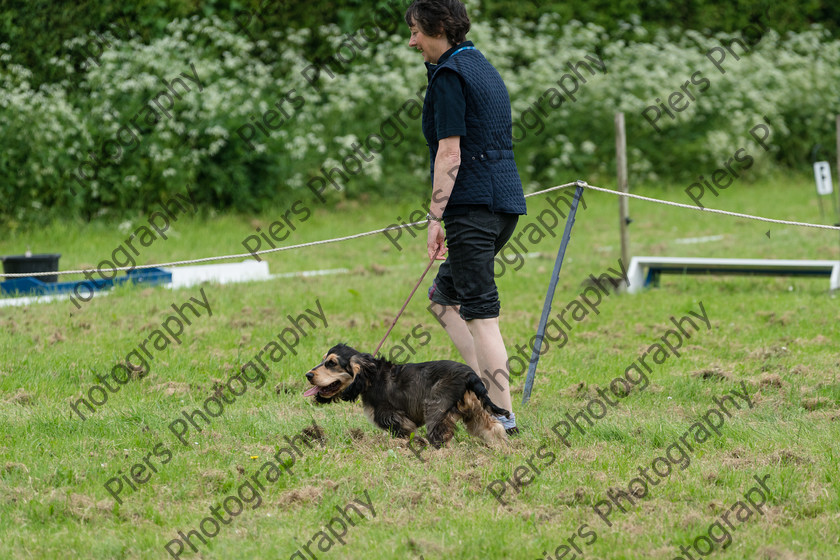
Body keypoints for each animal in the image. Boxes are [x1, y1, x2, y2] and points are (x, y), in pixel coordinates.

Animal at [306, 344, 508, 448]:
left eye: (331, 363)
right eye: (323, 360)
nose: (308, 375)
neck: (370, 377)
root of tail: (469, 375)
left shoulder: (394, 417)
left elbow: (407, 433)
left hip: (436, 409)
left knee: (441, 437)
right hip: (475, 411)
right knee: (495, 429)